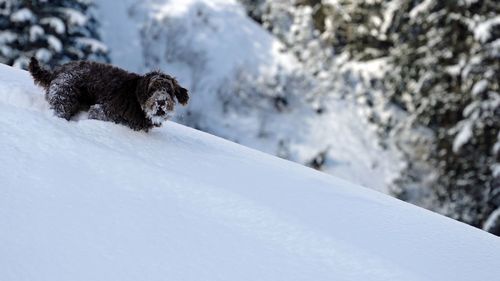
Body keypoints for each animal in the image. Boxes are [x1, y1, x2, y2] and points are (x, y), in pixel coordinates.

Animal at [28, 57, 189, 131]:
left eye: (169, 91)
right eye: (152, 90)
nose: (161, 102)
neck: (137, 101)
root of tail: (57, 70)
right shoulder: (102, 111)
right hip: (65, 97)